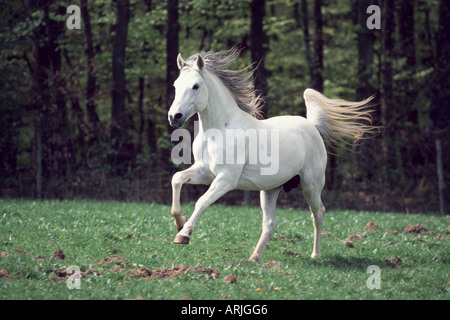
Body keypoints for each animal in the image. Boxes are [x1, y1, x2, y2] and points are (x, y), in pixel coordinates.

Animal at [167, 48, 374, 262]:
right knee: (270, 223)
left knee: (318, 214)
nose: (175, 117)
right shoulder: (205, 172)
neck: (220, 130)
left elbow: (202, 201)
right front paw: (179, 222)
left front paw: (183, 235)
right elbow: (177, 179)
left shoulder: (226, 179)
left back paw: (315, 254)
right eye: (176, 85)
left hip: (311, 186)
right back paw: (254, 257)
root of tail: (312, 126)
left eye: (196, 86)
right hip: (270, 189)